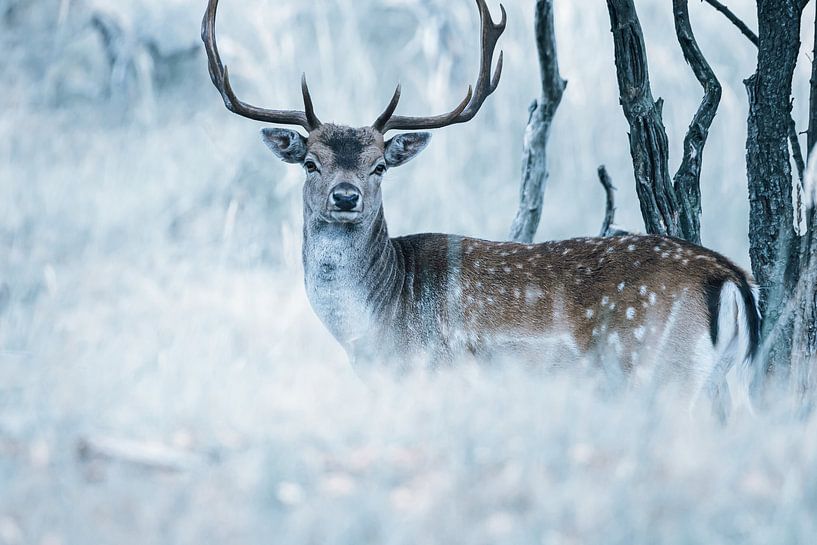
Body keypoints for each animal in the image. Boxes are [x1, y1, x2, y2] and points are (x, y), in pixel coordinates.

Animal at [202, 0, 760, 412]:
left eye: (379, 165)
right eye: (310, 163)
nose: (346, 196)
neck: (376, 327)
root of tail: (729, 276)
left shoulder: (431, 374)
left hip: (660, 372)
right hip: (717, 384)